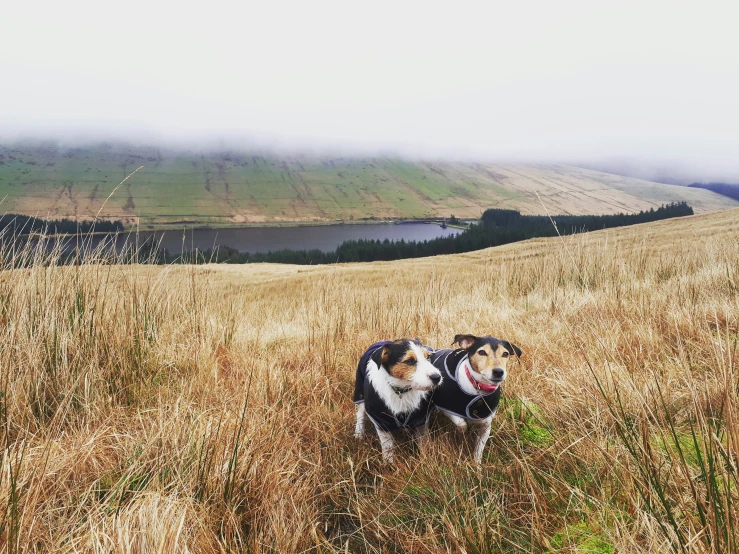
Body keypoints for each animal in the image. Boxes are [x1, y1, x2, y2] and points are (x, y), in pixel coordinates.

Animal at [430, 334, 524, 464]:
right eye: (482, 352)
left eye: (505, 354)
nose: (499, 372)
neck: (478, 387)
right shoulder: (445, 408)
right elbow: (461, 424)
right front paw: (462, 432)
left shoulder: (486, 426)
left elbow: (479, 450)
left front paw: (477, 466)